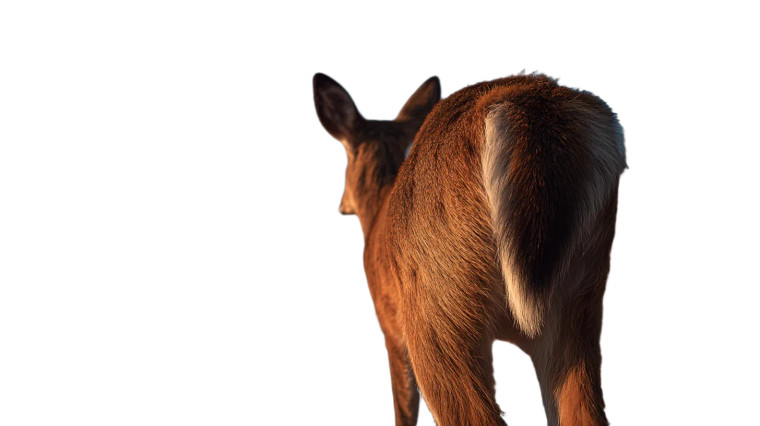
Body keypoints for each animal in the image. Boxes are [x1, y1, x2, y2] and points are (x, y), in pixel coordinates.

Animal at [312, 72, 626, 426]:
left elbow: (403, 409)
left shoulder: (391, 326)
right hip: (580, 294)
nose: (341, 205)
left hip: (436, 311)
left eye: (348, 154)